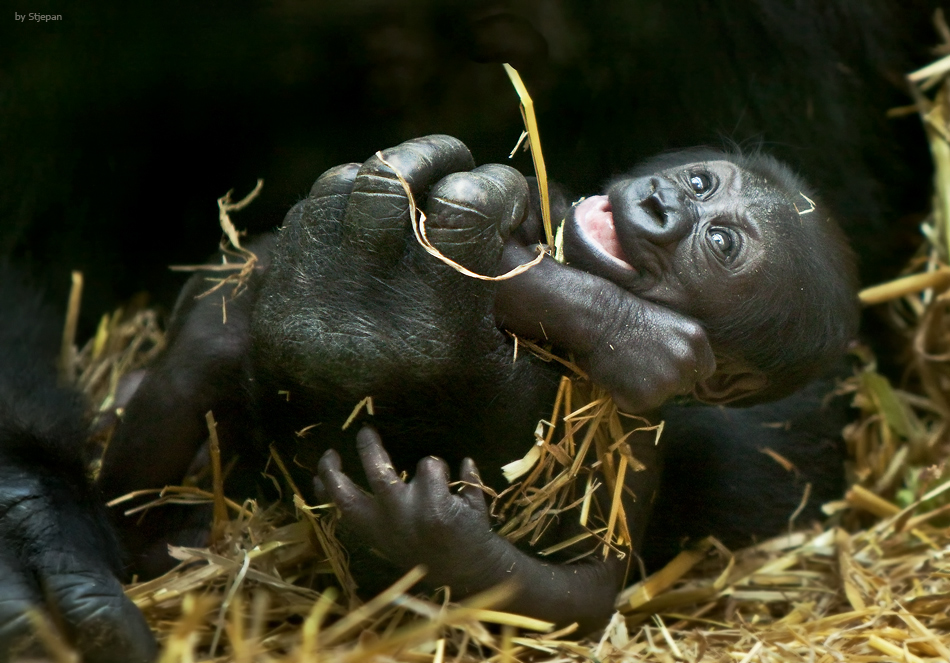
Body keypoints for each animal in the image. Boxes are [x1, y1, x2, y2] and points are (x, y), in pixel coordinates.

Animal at [98, 132, 864, 636]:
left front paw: (428, 542)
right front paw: (636, 334)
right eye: (700, 183)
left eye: (722, 243)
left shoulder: (640, 442)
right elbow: (509, 249)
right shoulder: (553, 201)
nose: (661, 205)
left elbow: (583, 593)